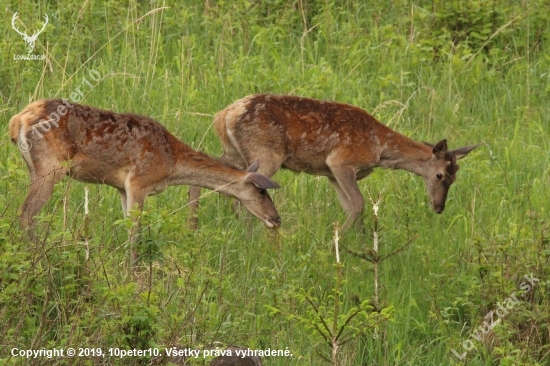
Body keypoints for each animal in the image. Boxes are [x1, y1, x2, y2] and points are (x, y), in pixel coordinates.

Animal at [8, 98, 282, 262]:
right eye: (261, 191)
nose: (276, 218)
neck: (171, 163)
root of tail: (17, 120)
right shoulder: (139, 181)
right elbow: (135, 231)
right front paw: (132, 270)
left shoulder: (122, 187)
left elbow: (127, 226)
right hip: (50, 167)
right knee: (26, 212)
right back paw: (35, 255)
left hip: (34, 168)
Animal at [188, 94, 480, 232]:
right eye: (440, 175)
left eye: (456, 176)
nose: (439, 208)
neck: (380, 148)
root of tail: (224, 115)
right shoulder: (341, 162)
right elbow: (359, 204)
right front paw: (336, 244)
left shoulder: (330, 173)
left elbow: (351, 207)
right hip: (265, 154)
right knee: (243, 191)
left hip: (236, 151)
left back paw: (194, 222)